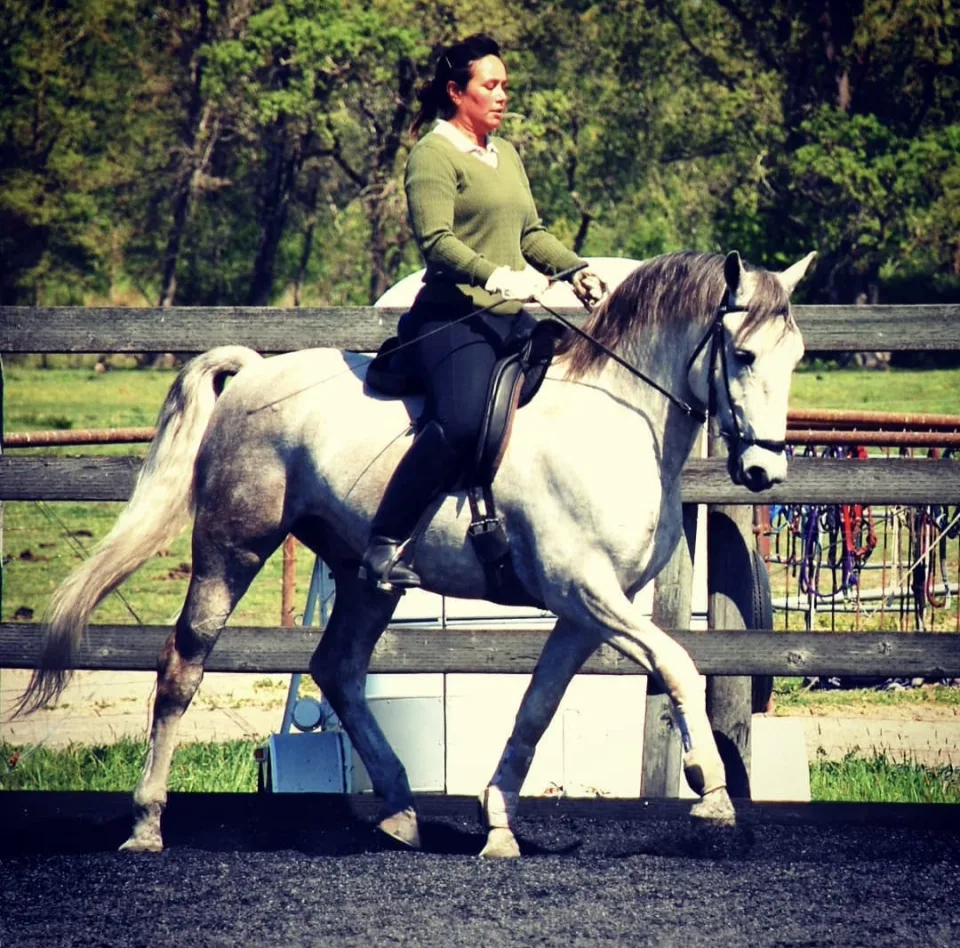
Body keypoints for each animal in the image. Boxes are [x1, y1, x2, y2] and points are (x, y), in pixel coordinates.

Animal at [17, 248, 814, 858]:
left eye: (799, 358)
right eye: (743, 355)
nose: (763, 473)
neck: (615, 422)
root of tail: (255, 370)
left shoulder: (583, 612)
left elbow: (536, 709)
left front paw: (498, 825)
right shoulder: (585, 591)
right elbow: (679, 664)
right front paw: (713, 795)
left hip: (367, 577)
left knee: (337, 668)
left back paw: (400, 810)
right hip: (232, 547)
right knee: (182, 665)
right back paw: (147, 826)